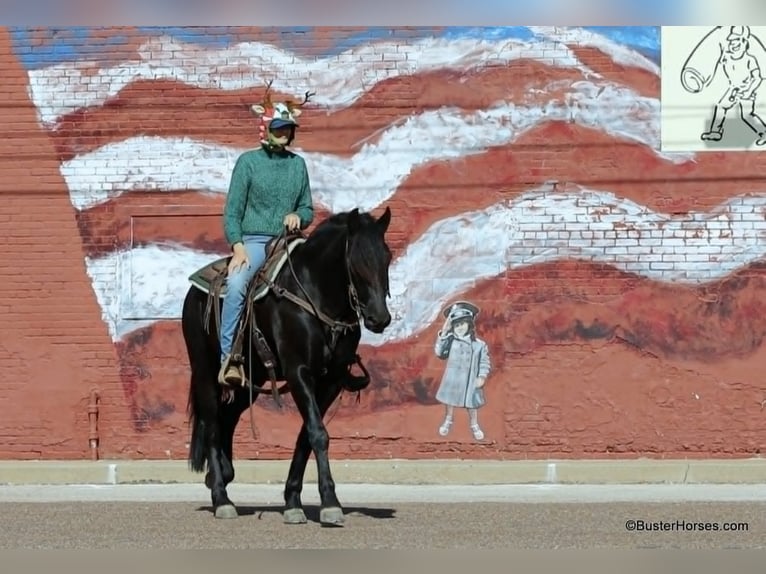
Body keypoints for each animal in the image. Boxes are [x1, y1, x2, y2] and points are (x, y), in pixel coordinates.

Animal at [182, 207, 392, 528]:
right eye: (357, 260)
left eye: (387, 257)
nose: (379, 318)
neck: (317, 296)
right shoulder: (298, 373)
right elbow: (318, 433)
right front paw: (330, 503)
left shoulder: (330, 381)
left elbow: (307, 435)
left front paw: (293, 501)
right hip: (204, 370)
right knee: (213, 423)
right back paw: (221, 497)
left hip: (250, 380)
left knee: (228, 417)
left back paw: (223, 475)